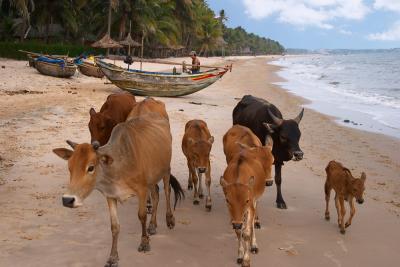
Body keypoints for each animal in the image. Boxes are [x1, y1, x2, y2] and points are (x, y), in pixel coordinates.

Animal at [53, 113, 184, 267]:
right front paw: (113, 257)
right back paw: (152, 225)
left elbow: (142, 216)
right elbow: (115, 226)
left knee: (167, 191)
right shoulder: (111, 196)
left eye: (91, 167)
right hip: (152, 177)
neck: (118, 167)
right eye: (69, 167)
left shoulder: (142, 190)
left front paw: (144, 243)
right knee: (156, 194)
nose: (67, 200)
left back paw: (169, 220)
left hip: (166, 170)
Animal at [220, 133, 274, 266]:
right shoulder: (233, 215)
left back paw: (253, 245)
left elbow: (247, 233)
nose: (269, 182)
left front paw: (246, 259)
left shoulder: (251, 206)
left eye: (247, 200)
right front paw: (240, 255)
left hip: (256, 201)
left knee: (252, 223)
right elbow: (239, 232)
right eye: (227, 200)